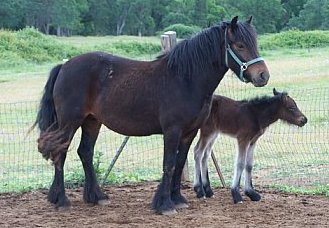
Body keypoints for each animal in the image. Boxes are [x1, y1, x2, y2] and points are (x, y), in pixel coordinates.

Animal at [34, 16, 270, 215]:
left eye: (254, 43)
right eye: (240, 45)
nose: (263, 76)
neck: (185, 79)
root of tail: (65, 66)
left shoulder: (189, 132)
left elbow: (180, 162)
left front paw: (178, 199)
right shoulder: (172, 131)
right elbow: (169, 164)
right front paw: (164, 205)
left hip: (92, 121)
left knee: (85, 152)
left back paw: (96, 196)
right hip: (69, 122)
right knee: (61, 153)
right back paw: (62, 200)